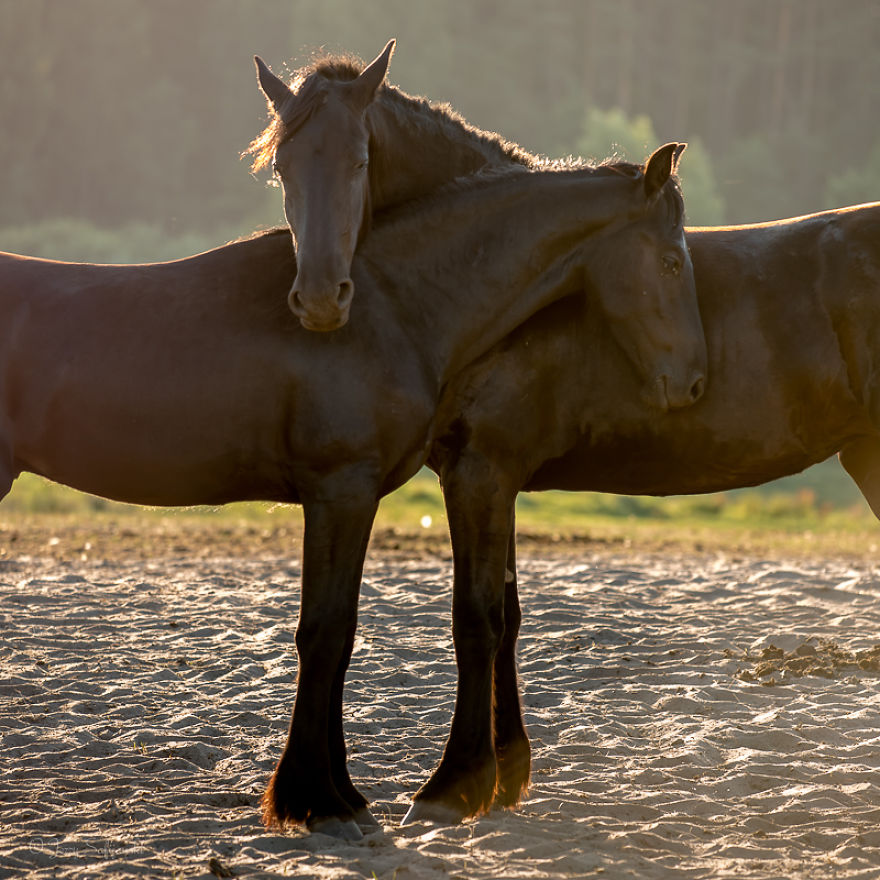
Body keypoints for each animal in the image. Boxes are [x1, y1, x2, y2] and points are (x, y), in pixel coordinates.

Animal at [0, 155, 706, 839]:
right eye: (672, 261)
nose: (693, 383)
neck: (392, 306)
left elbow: (343, 636)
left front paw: (333, 792)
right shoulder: (341, 491)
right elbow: (327, 633)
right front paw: (321, 801)